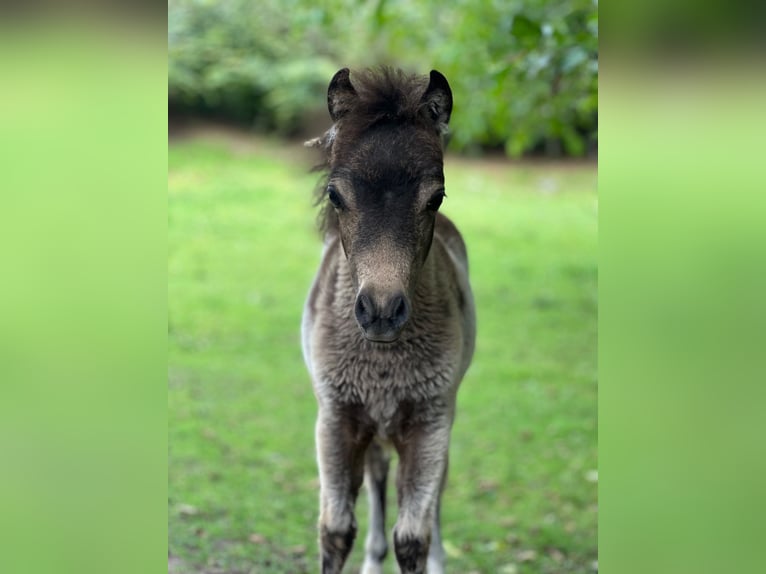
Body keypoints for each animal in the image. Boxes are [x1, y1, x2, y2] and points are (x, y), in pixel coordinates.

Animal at [304, 68, 474, 574]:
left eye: (436, 197)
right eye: (335, 195)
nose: (380, 310)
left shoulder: (431, 420)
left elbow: (413, 536)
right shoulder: (335, 416)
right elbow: (336, 529)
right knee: (379, 476)